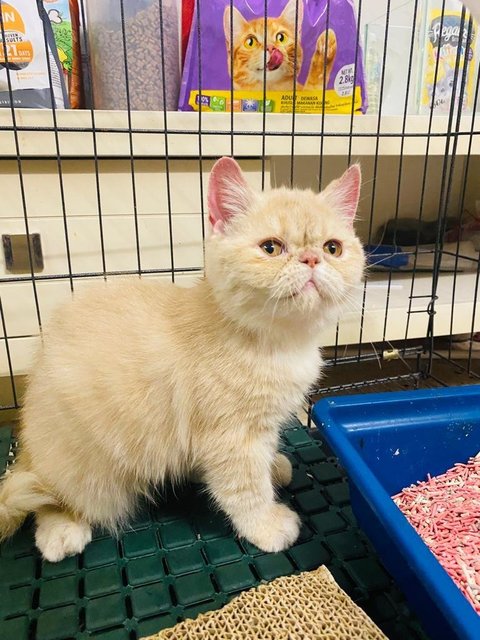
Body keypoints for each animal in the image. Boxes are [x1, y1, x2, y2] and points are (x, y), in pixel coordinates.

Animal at [0, 158, 362, 564]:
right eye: (271, 247)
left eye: (333, 248)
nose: (312, 258)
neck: (280, 343)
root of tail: (28, 436)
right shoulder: (230, 438)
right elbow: (244, 488)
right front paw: (266, 524)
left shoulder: (260, 427)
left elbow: (262, 459)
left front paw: (272, 466)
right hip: (88, 473)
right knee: (47, 494)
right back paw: (60, 531)